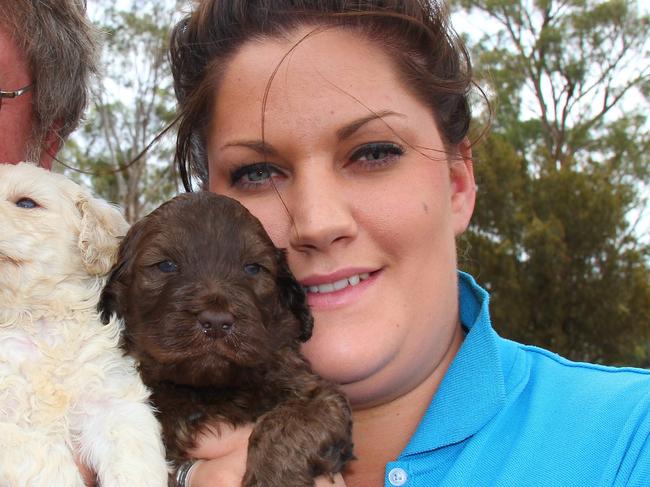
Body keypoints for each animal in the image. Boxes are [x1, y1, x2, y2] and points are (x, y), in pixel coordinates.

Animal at [98, 193, 352, 486]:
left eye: (253, 268)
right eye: (166, 265)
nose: (217, 322)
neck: (210, 390)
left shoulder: (316, 392)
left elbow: (290, 421)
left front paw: (272, 478)